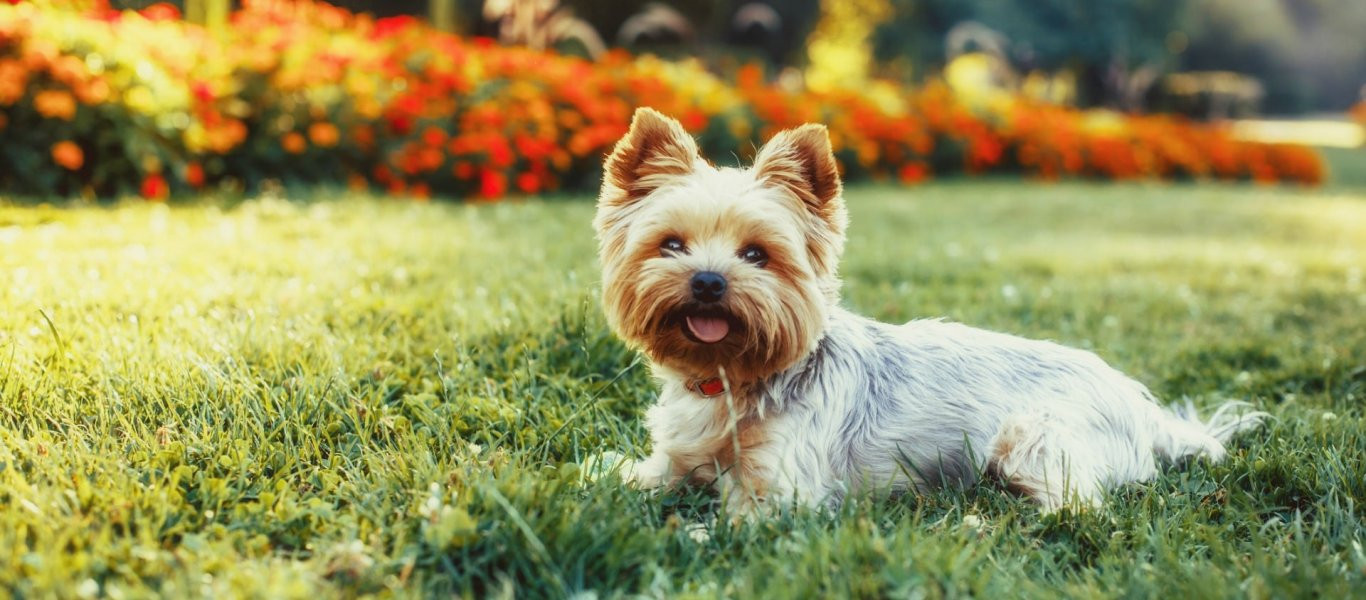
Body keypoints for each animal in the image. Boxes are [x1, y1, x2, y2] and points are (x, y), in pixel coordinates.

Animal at [592, 107, 1262, 516]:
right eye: (671, 244)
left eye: (757, 254)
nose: (708, 281)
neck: (731, 378)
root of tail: (1146, 410)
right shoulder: (672, 459)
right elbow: (634, 475)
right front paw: (600, 479)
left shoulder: (781, 491)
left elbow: (729, 521)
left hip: (1032, 438)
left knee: (1078, 506)